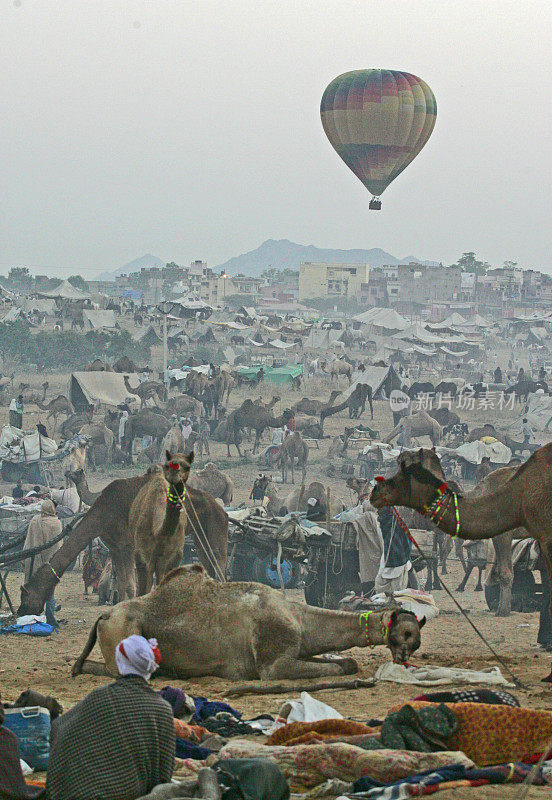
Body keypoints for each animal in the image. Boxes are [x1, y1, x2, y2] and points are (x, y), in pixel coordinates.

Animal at [18, 468, 227, 620]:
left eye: (25, 595)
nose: (20, 611)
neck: (103, 513)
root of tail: (221, 509)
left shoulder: (127, 544)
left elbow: (129, 585)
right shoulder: (114, 546)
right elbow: (121, 581)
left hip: (215, 530)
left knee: (220, 567)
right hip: (200, 538)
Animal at [70, 564, 422, 680]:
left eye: (416, 637)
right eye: (406, 633)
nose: (405, 657)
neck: (299, 619)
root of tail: (104, 615)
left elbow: (345, 662)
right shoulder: (272, 662)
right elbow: (334, 668)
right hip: (124, 629)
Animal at [132, 450, 194, 592]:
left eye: (187, 466)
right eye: (168, 465)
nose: (174, 475)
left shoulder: (175, 555)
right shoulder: (142, 555)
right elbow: (144, 590)